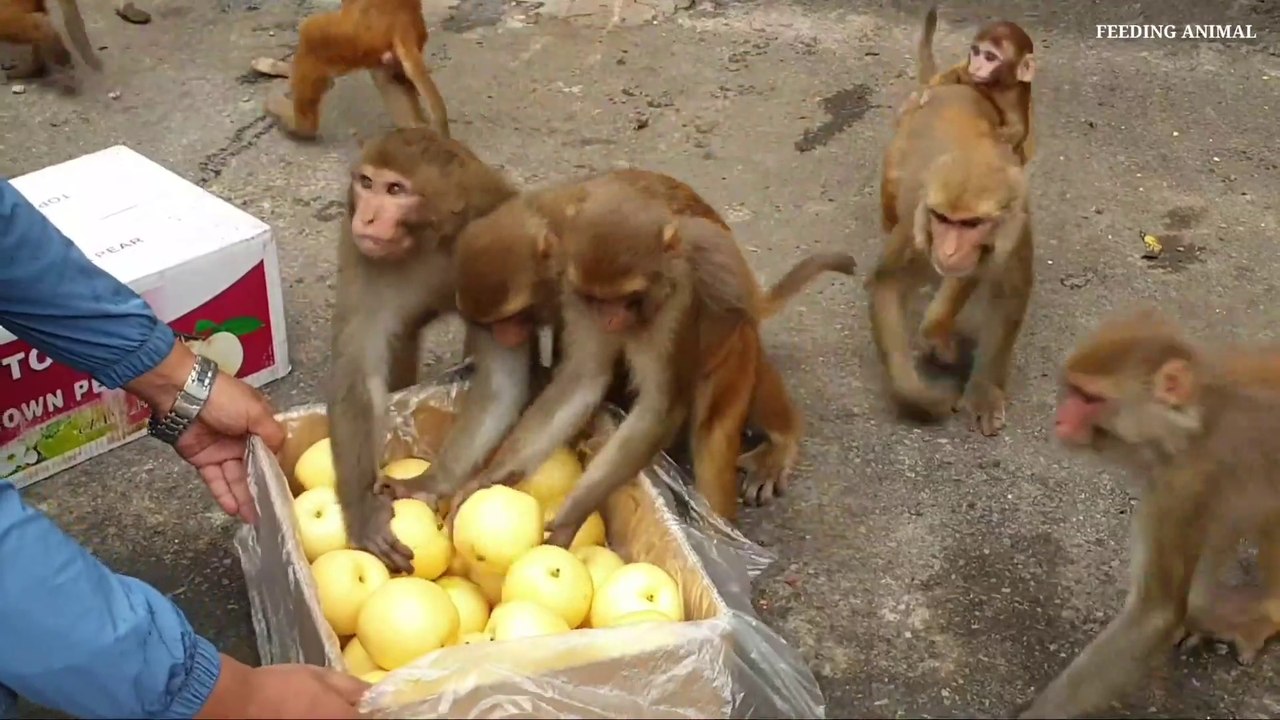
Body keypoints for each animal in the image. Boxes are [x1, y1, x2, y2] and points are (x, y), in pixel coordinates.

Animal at [327, 126, 524, 574]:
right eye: (367, 183)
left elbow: (502, 380)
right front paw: (365, 511)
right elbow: (359, 376)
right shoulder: (360, 251)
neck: (430, 238)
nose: (367, 216)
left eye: (396, 190)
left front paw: (427, 484)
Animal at [435, 173, 856, 546]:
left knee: (715, 425)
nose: (610, 318)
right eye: (492, 324)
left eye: (627, 298)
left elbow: (659, 409)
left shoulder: (675, 302)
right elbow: (573, 381)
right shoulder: (577, 294)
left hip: (733, 338)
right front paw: (474, 479)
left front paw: (571, 518)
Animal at [870, 78, 1032, 437]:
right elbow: (887, 283)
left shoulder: (1016, 227)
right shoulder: (916, 224)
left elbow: (1007, 293)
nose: (948, 250)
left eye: (971, 224)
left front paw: (984, 389)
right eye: (941, 218)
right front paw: (916, 396)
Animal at [899, 6, 1037, 165]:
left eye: (990, 57)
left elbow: (1017, 130)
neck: (995, 85)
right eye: (976, 51)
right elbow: (959, 75)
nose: (976, 66)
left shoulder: (1013, 96)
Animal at [1018, 309, 1280, 719]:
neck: (1192, 422)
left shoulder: (1181, 484)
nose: (1060, 420)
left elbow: (1153, 614)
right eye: (1073, 391)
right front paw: (1202, 612)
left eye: (1090, 398)